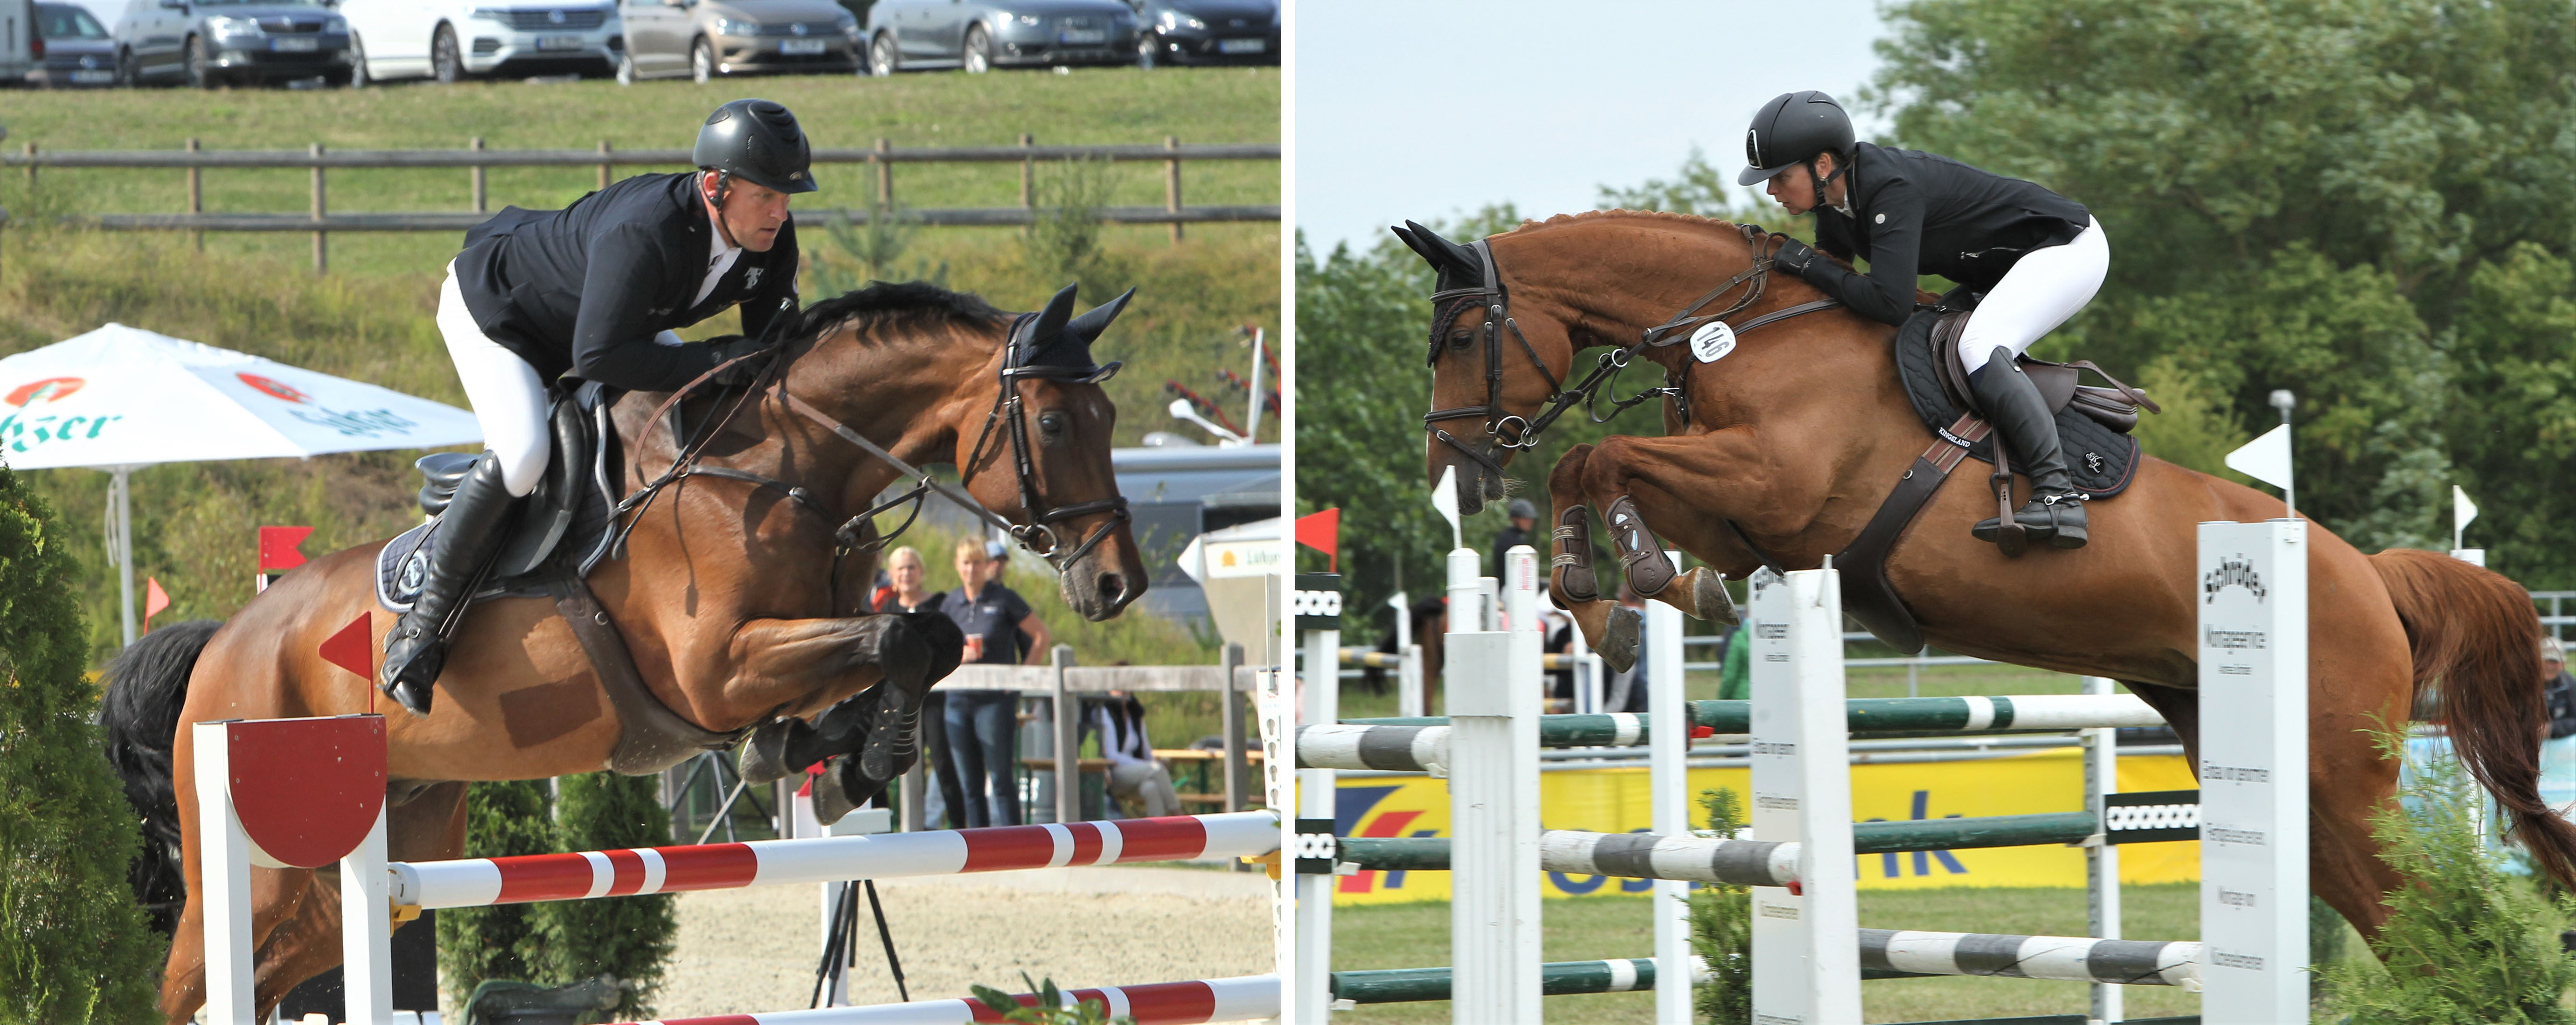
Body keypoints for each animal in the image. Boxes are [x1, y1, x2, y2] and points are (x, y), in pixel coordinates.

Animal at [100, 282, 1149, 1025]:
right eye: (1054, 422)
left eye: (1106, 421)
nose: (1118, 585)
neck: (782, 470)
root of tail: (227, 637)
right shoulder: (715, 670)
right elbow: (896, 635)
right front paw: (840, 757)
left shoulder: (804, 640)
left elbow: (918, 640)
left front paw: (838, 757)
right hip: (253, 858)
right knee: (184, 981)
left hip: (386, 848)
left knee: (279, 965)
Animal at [1401, 209, 2565, 937]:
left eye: (1458, 337)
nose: (1448, 468)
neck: (1745, 331)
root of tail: (2369, 576)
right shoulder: (1746, 520)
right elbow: (1593, 472)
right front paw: (1618, 590)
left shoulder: (1774, 486)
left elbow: (1596, 457)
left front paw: (1633, 577)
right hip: (2273, 768)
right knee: (2391, 915)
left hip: (2340, 769)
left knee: (2422, 905)